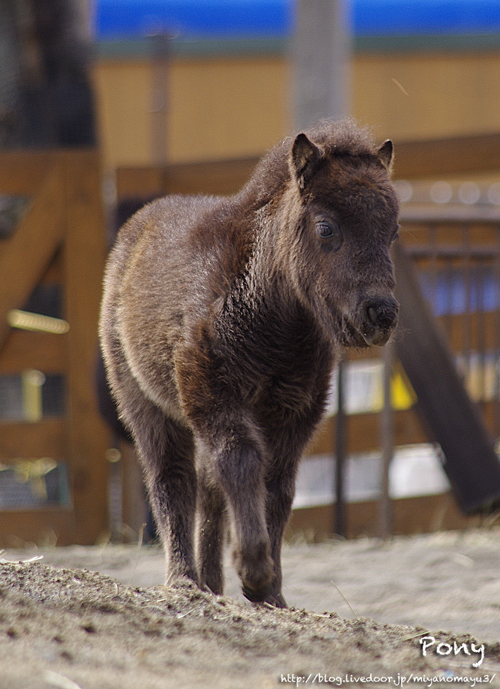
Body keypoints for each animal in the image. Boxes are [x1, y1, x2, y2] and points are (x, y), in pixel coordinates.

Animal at [99, 121, 400, 604]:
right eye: (326, 227)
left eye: (392, 232)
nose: (380, 314)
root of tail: (135, 231)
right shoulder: (213, 396)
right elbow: (240, 461)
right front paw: (254, 569)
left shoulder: (295, 412)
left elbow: (278, 486)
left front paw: (271, 591)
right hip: (146, 406)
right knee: (172, 481)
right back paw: (184, 580)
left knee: (207, 486)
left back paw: (212, 582)